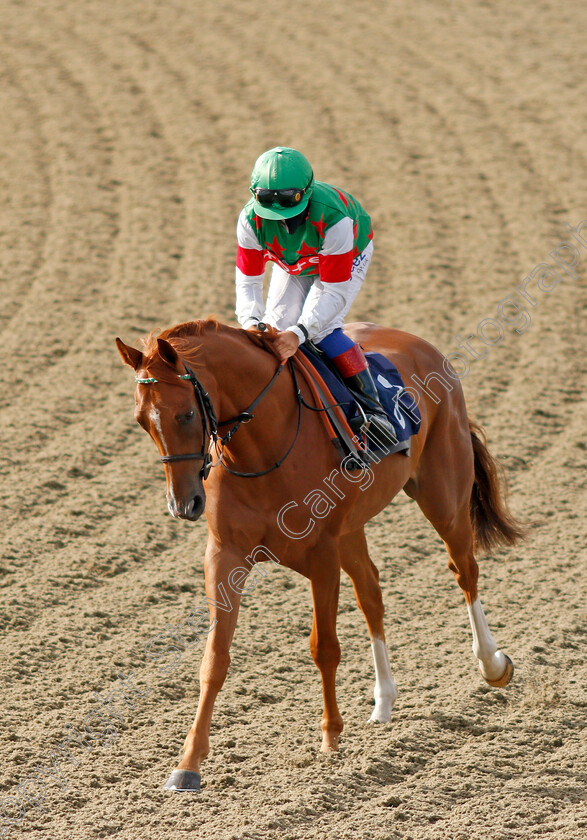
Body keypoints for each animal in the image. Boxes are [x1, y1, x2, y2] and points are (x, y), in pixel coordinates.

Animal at [115, 318, 524, 792]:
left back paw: (492, 665)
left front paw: (330, 738)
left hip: (443, 495)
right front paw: (188, 763)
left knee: (464, 571)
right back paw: (384, 701)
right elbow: (214, 660)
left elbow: (323, 647)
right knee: (371, 592)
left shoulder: (322, 556)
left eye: (185, 414)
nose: (184, 505)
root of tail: (422, 344)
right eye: (142, 421)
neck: (265, 449)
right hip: (353, 529)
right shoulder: (224, 557)